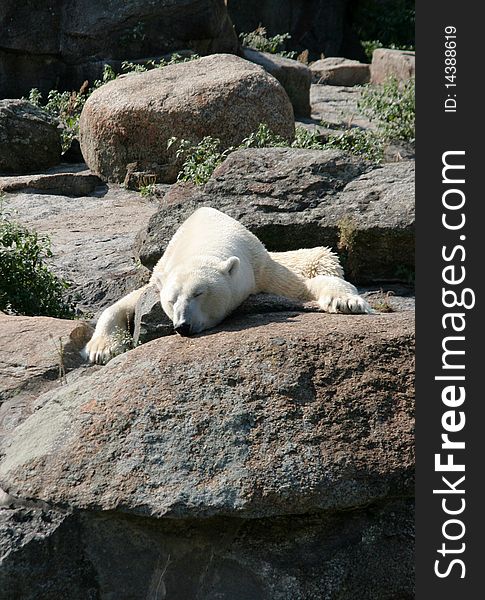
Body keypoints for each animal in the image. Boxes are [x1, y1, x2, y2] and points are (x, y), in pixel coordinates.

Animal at [84, 207, 370, 366]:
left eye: (198, 293)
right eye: (171, 300)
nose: (183, 326)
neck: (201, 239)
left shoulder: (258, 267)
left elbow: (300, 286)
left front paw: (347, 302)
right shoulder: (158, 276)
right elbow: (123, 303)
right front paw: (100, 349)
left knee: (320, 256)